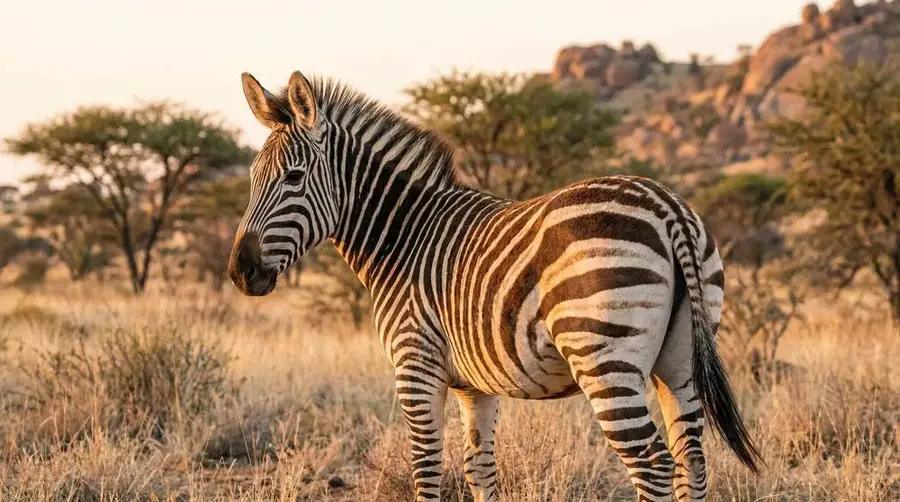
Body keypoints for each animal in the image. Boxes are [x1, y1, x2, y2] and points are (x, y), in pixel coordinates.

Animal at [227, 70, 762, 501]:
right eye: (252, 178)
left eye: (294, 178)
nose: (240, 272)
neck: (402, 236)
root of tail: (665, 205)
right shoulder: (474, 386)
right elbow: (479, 470)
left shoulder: (415, 366)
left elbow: (427, 471)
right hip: (680, 359)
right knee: (691, 459)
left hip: (603, 358)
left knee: (652, 466)